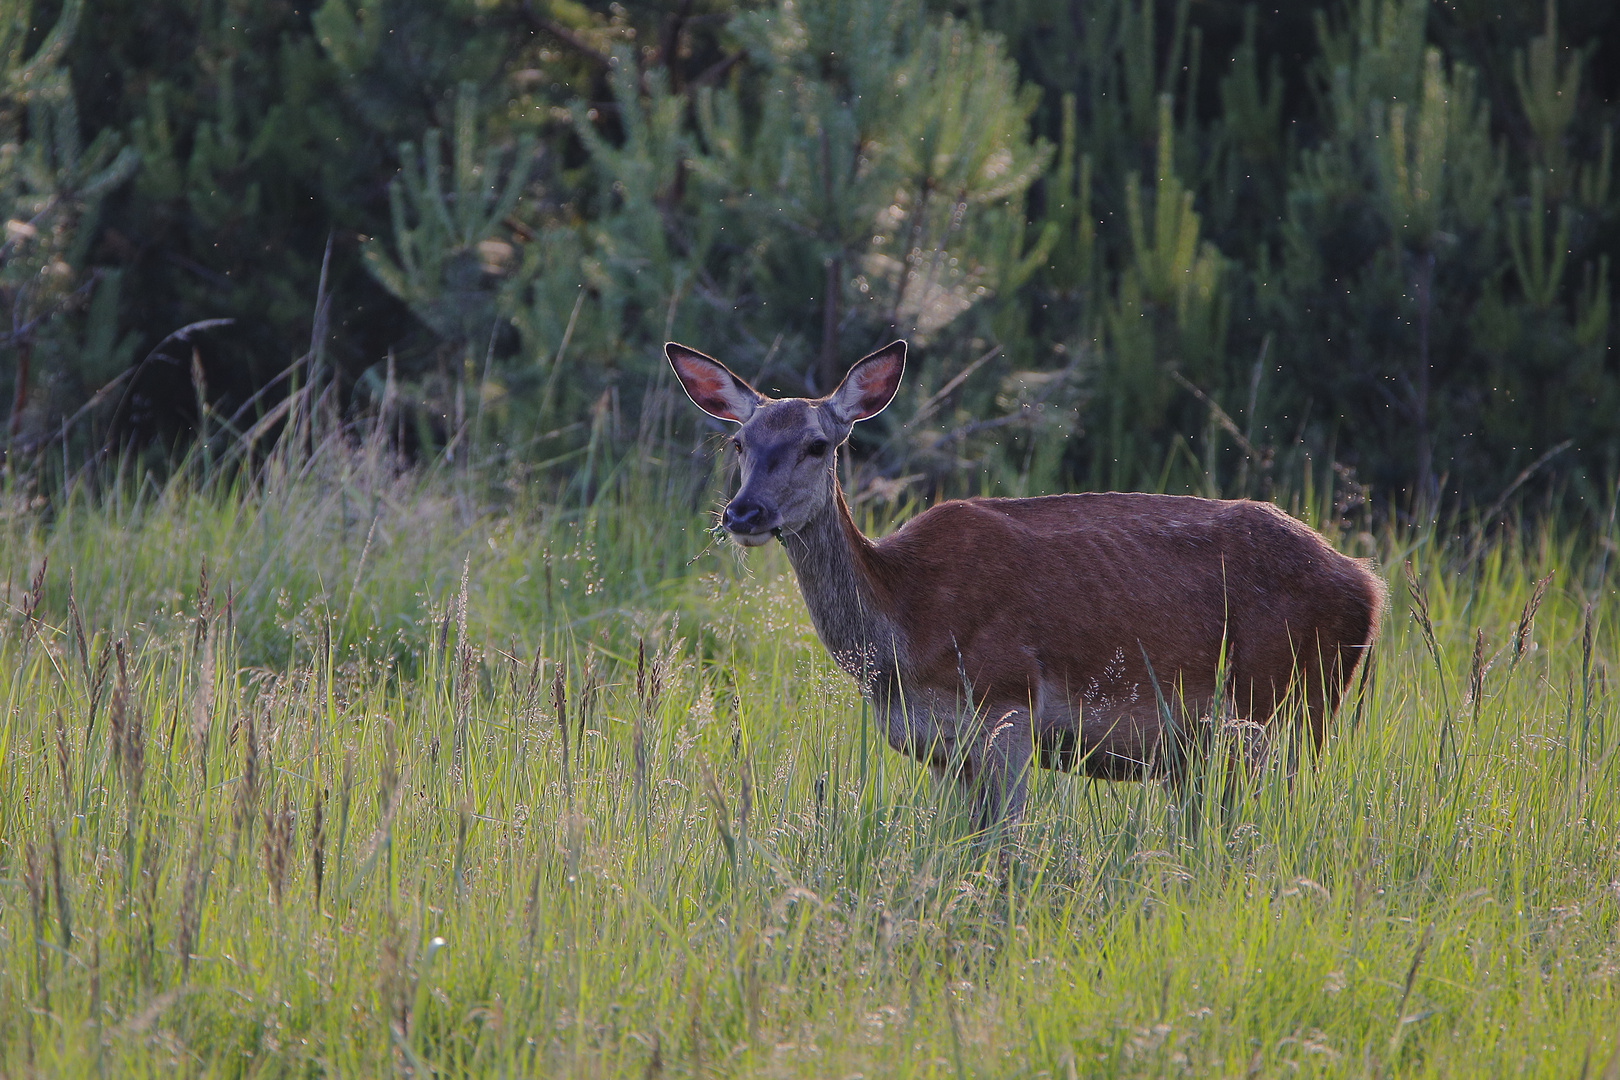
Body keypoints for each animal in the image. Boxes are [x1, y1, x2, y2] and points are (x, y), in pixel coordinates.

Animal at [664, 338, 1386, 829]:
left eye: (818, 445)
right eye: (739, 444)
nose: (743, 513)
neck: (904, 629)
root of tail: (1369, 589)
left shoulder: (1006, 707)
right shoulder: (938, 748)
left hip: (1291, 702)